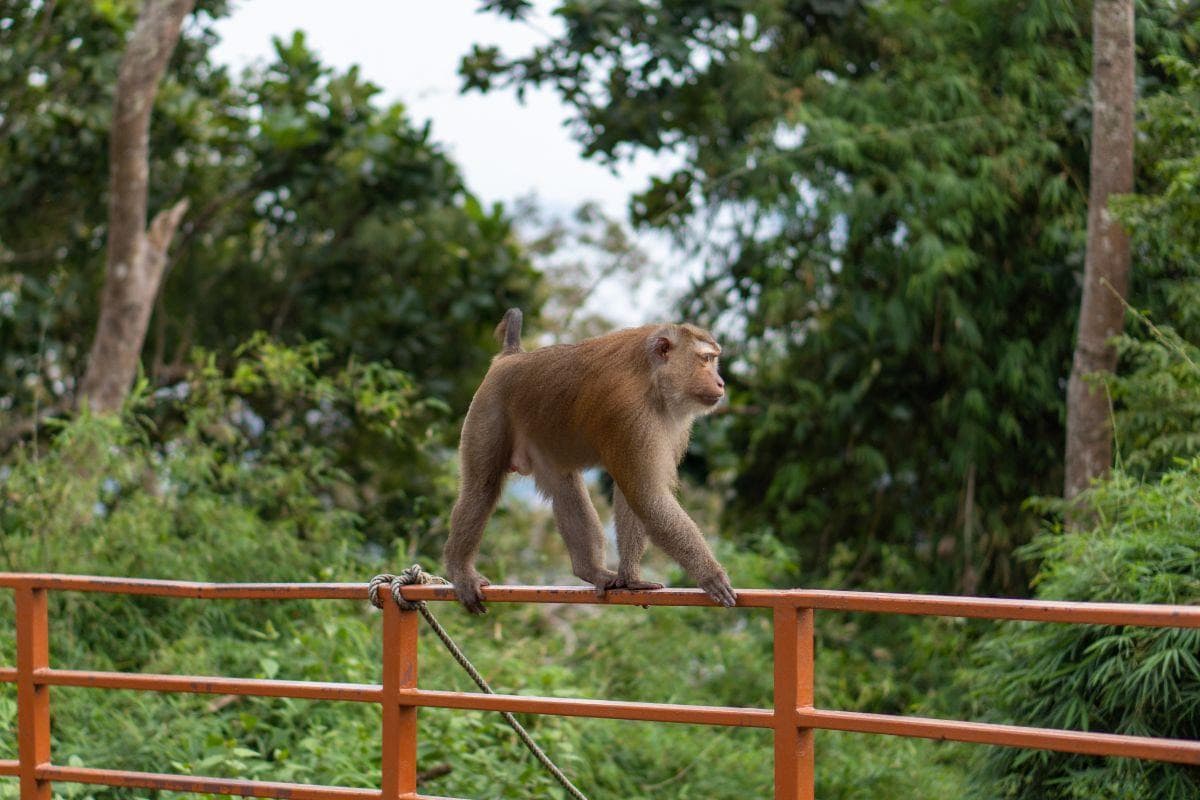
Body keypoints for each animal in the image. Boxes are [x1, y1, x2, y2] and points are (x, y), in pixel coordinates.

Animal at [443, 308, 736, 614]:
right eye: (705, 359)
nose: (721, 383)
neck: (654, 380)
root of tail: (510, 357)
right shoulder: (629, 414)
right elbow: (647, 496)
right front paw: (710, 574)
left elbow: (634, 496)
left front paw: (632, 578)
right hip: (488, 409)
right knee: (481, 487)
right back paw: (460, 571)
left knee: (564, 487)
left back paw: (590, 570)